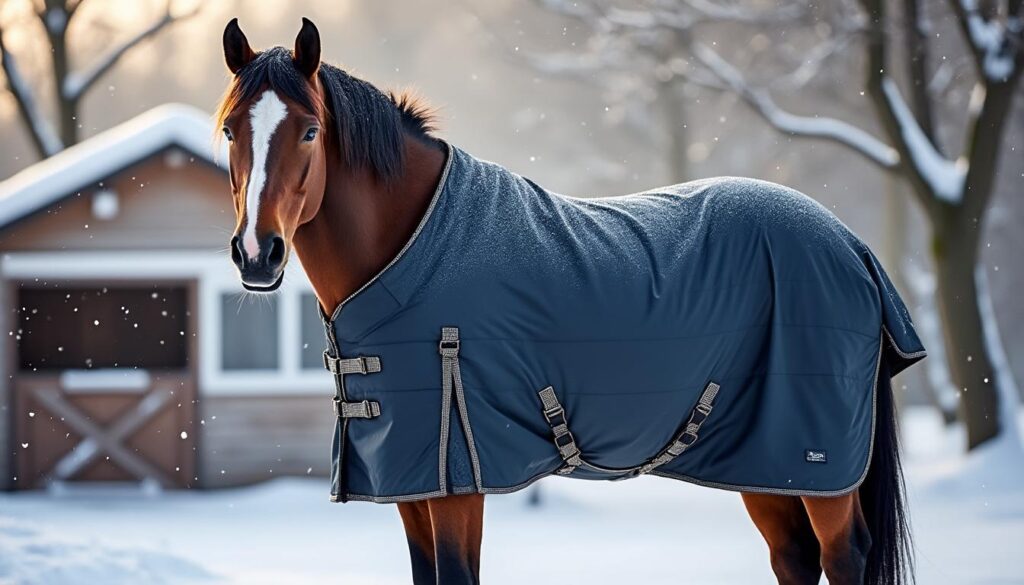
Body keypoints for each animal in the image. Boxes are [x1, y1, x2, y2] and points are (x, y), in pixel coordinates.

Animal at [216, 18, 921, 585]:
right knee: (795, 558)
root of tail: (852, 247)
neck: (411, 251)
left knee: (843, 558)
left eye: (310, 132)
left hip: (820, 470)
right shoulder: (411, 487)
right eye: (228, 130)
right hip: (765, 464)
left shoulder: (457, 486)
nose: (257, 254)